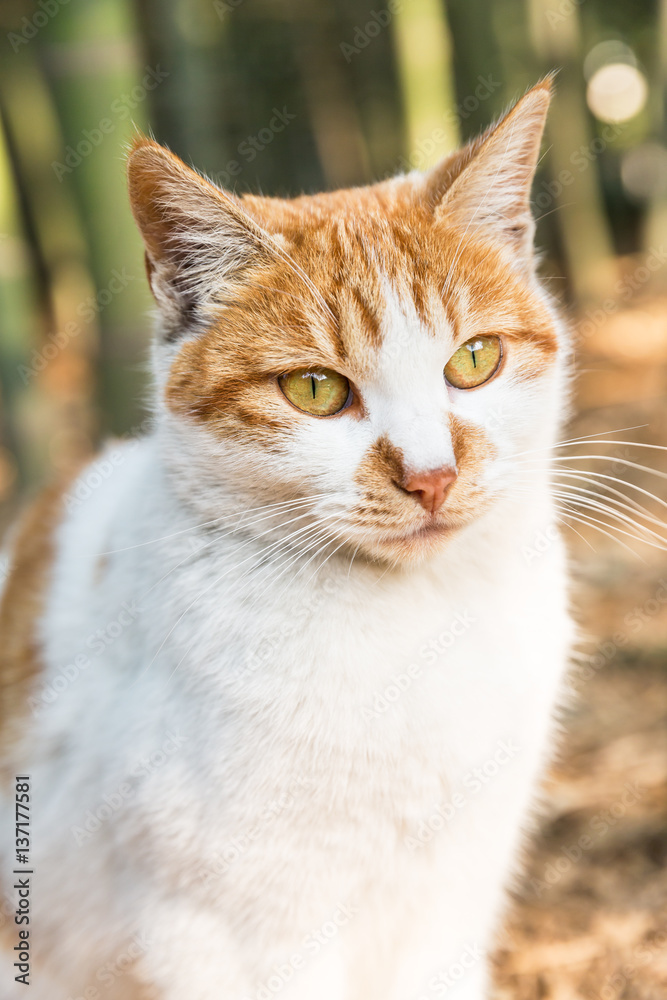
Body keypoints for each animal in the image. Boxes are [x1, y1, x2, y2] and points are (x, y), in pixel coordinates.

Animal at [1, 80, 576, 1000]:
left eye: (474, 360)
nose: (432, 475)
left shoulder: (450, 901)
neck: (419, 628)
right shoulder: (241, 935)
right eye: (314, 389)